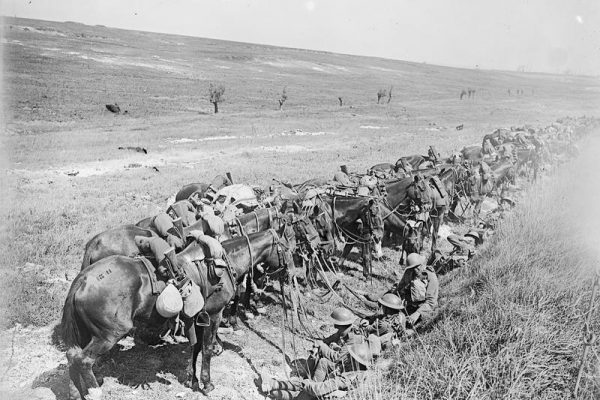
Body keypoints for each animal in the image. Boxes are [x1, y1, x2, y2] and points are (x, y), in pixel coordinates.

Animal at [61, 225, 296, 396]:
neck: (224, 263)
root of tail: (82, 280)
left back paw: (76, 393)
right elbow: (207, 349)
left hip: (85, 333)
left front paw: (193, 380)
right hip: (108, 334)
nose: (291, 274)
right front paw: (207, 384)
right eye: (286, 248)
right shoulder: (214, 315)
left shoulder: (198, 317)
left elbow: (196, 347)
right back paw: (93, 392)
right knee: (84, 361)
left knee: (72, 357)